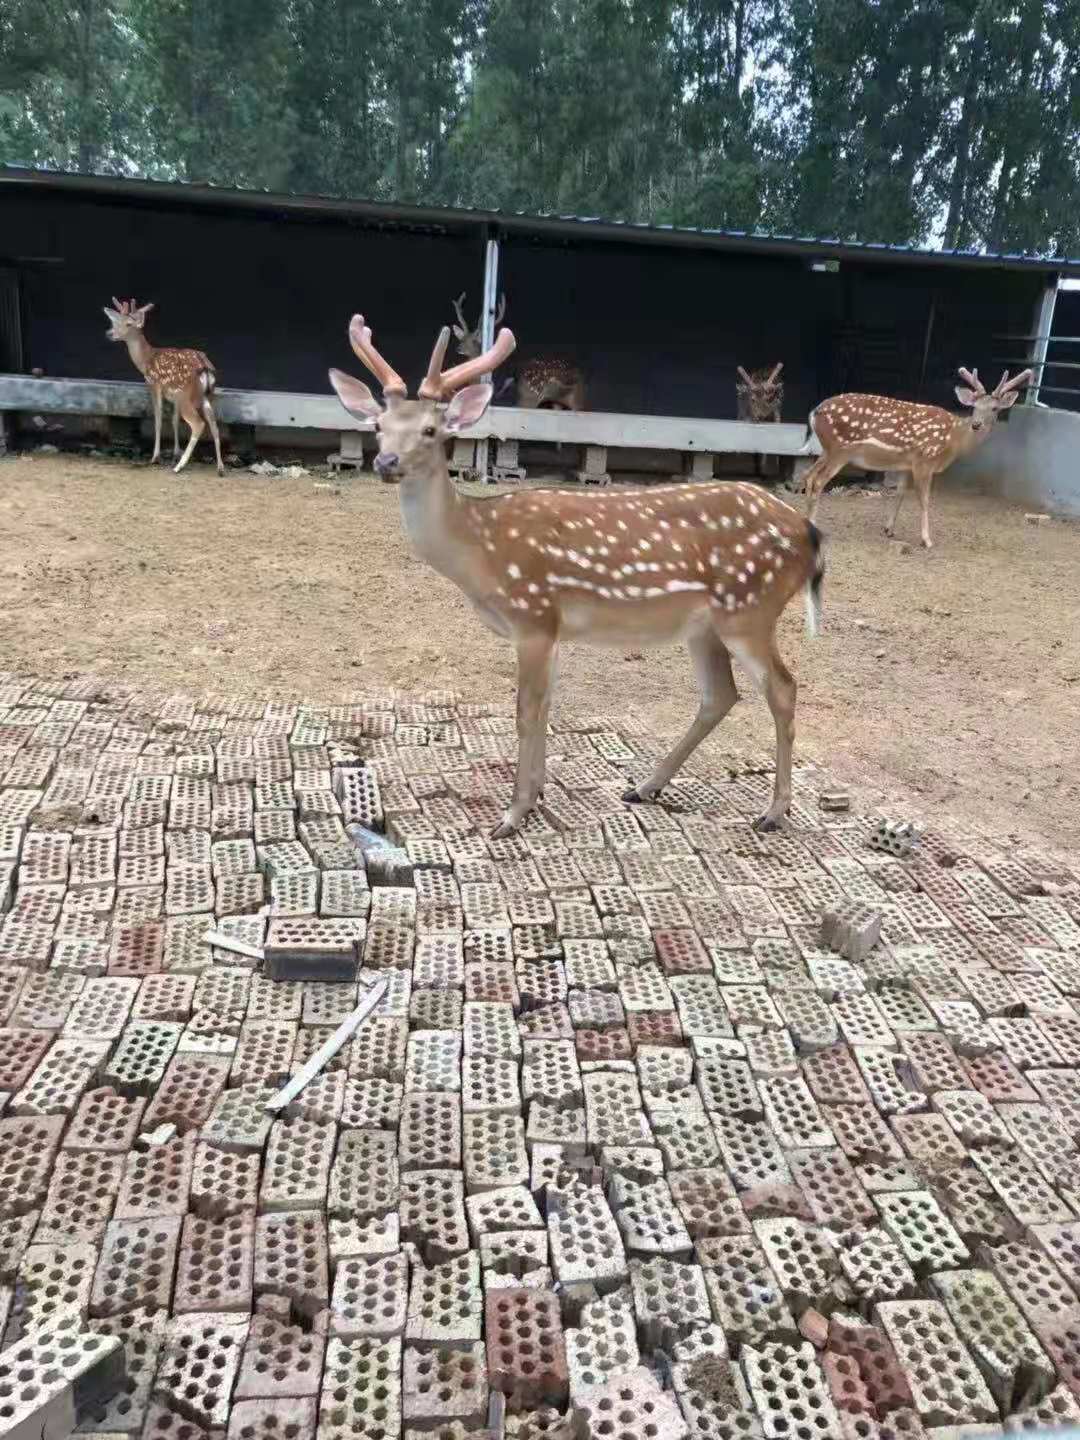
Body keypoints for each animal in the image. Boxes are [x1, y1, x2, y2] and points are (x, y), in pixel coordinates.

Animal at [103, 298, 226, 478]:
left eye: (129, 324)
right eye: (114, 322)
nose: (109, 334)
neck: (146, 360)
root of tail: (204, 367)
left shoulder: (154, 384)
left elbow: (159, 419)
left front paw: (156, 457)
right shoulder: (173, 395)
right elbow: (174, 420)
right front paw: (175, 453)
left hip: (186, 396)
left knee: (198, 423)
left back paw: (179, 467)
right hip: (204, 396)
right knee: (213, 424)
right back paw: (220, 468)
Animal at [329, 309, 829, 840]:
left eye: (431, 430)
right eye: (378, 425)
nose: (385, 461)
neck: (480, 549)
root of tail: (810, 532)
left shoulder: (533, 614)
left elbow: (526, 711)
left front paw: (512, 815)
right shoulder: (552, 628)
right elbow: (548, 706)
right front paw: (538, 794)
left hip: (750, 608)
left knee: (782, 688)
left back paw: (773, 812)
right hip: (707, 624)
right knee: (721, 694)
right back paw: (645, 786)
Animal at [806, 368, 1036, 547]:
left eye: (995, 408)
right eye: (974, 407)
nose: (976, 424)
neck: (953, 441)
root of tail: (814, 412)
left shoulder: (906, 465)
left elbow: (899, 494)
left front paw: (888, 529)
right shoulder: (925, 460)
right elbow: (924, 499)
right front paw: (926, 539)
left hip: (827, 450)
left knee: (808, 475)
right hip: (840, 449)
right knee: (818, 481)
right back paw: (814, 526)